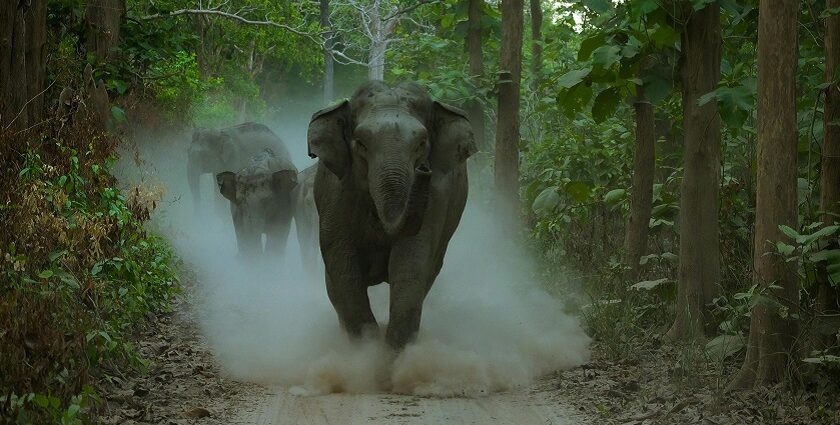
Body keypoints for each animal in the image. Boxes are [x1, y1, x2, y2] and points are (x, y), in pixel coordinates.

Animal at [306, 80, 476, 348]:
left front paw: (387, 355)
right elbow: (342, 265)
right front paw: (367, 347)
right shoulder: (336, 191)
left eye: (421, 143)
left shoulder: (437, 197)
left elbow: (411, 263)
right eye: (361, 143)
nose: (424, 169)